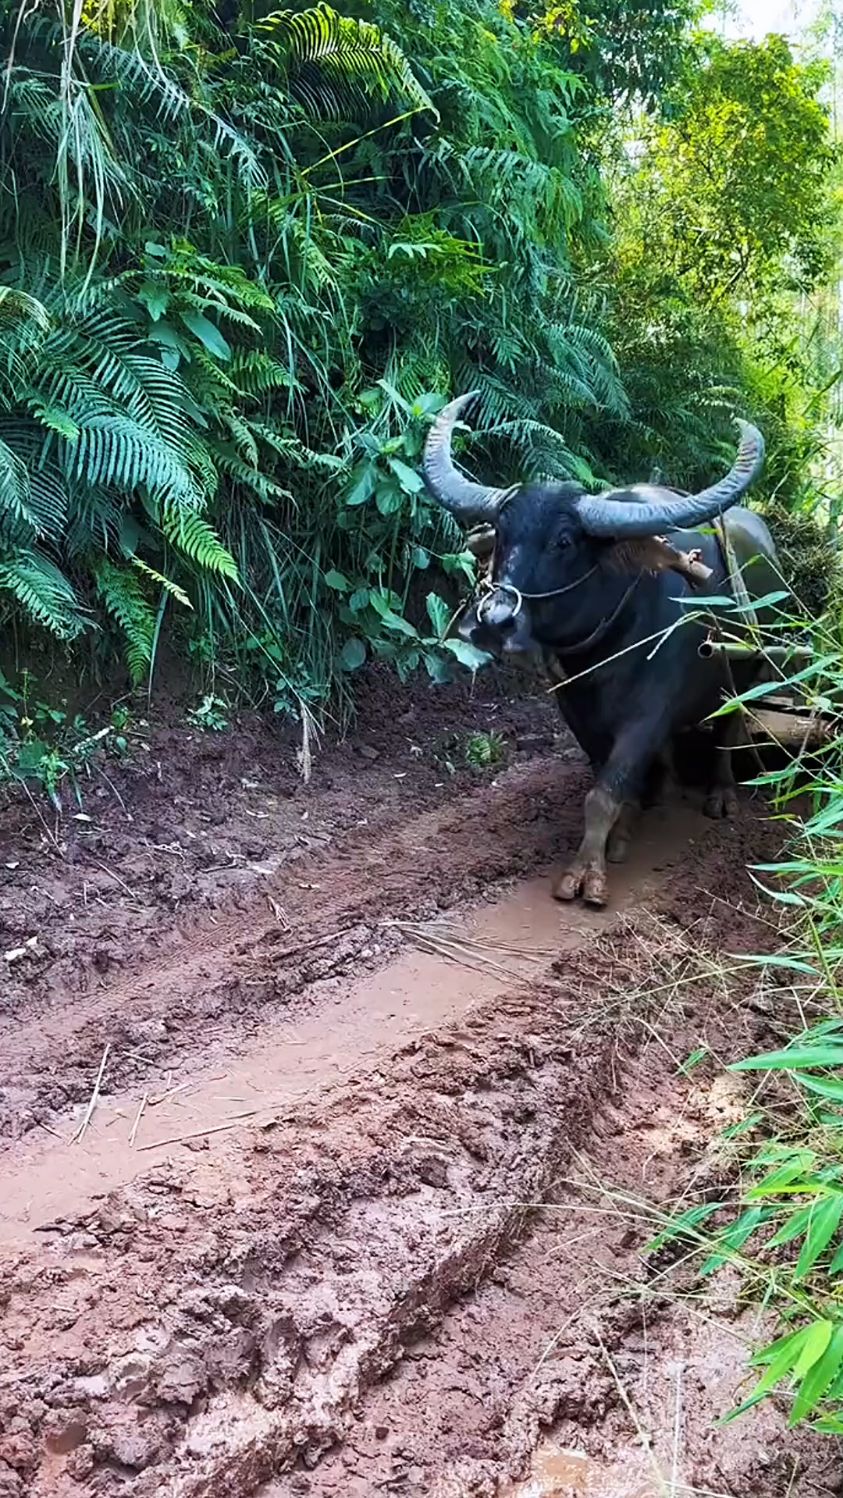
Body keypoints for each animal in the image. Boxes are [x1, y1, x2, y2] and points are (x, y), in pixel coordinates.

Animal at [425, 392, 784, 904]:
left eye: (563, 541)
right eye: (502, 535)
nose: (493, 622)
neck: (609, 648)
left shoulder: (648, 713)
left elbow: (604, 794)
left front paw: (586, 874)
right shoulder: (576, 709)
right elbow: (608, 785)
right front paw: (624, 830)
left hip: (746, 675)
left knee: (728, 733)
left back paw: (721, 795)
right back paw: (663, 790)